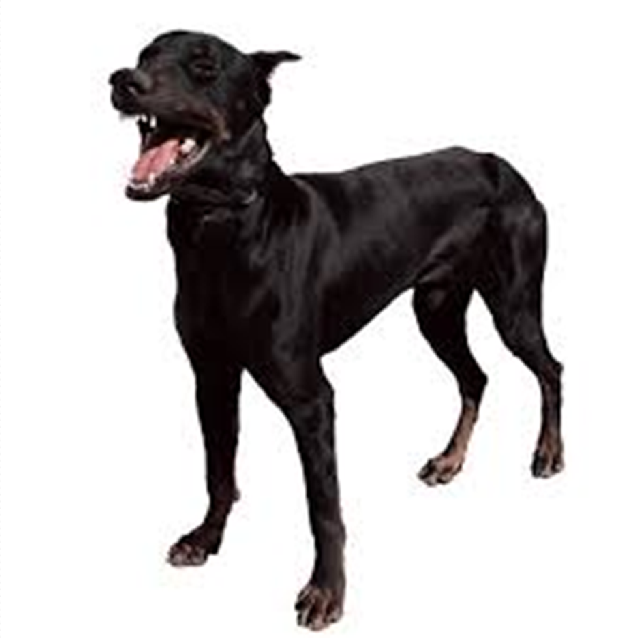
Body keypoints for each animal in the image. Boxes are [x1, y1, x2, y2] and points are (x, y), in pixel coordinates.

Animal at [110, 30, 563, 630]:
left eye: (204, 66)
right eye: (144, 56)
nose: (121, 82)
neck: (225, 226)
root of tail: (503, 165)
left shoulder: (310, 398)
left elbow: (322, 505)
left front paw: (326, 592)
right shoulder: (212, 376)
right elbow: (218, 470)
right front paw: (206, 539)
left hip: (513, 305)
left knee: (550, 369)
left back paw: (548, 452)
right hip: (436, 310)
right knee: (476, 378)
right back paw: (449, 461)